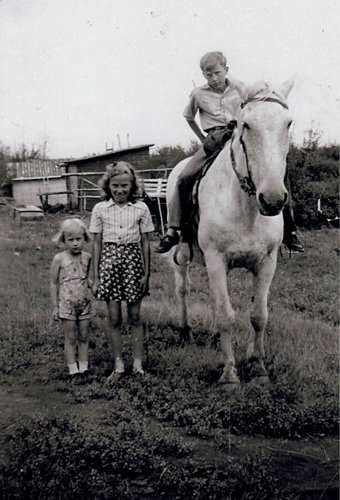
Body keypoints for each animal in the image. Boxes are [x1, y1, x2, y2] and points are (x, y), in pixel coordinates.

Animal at [166, 79, 294, 382]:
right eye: (246, 125)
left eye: (288, 123)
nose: (272, 199)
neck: (245, 209)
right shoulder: (215, 258)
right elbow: (226, 315)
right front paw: (229, 374)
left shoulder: (267, 262)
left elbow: (258, 315)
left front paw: (258, 366)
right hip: (183, 254)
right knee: (182, 289)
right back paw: (185, 331)